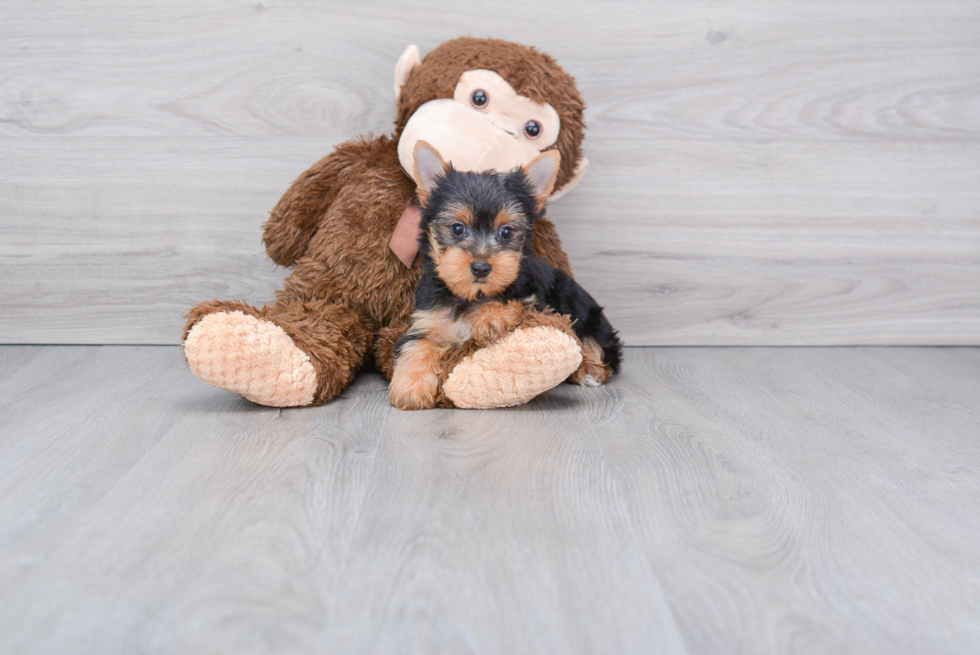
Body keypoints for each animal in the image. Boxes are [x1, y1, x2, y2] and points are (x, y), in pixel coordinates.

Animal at [388, 142, 624, 410]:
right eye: (457, 228)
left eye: (507, 231)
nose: (481, 267)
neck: (471, 295)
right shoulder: (428, 320)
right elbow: (416, 345)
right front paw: (411, 388)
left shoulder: (536, 301)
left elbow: (514, 301)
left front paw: (490, 317)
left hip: (586, 314)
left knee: (597, 346)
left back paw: (589, 370)